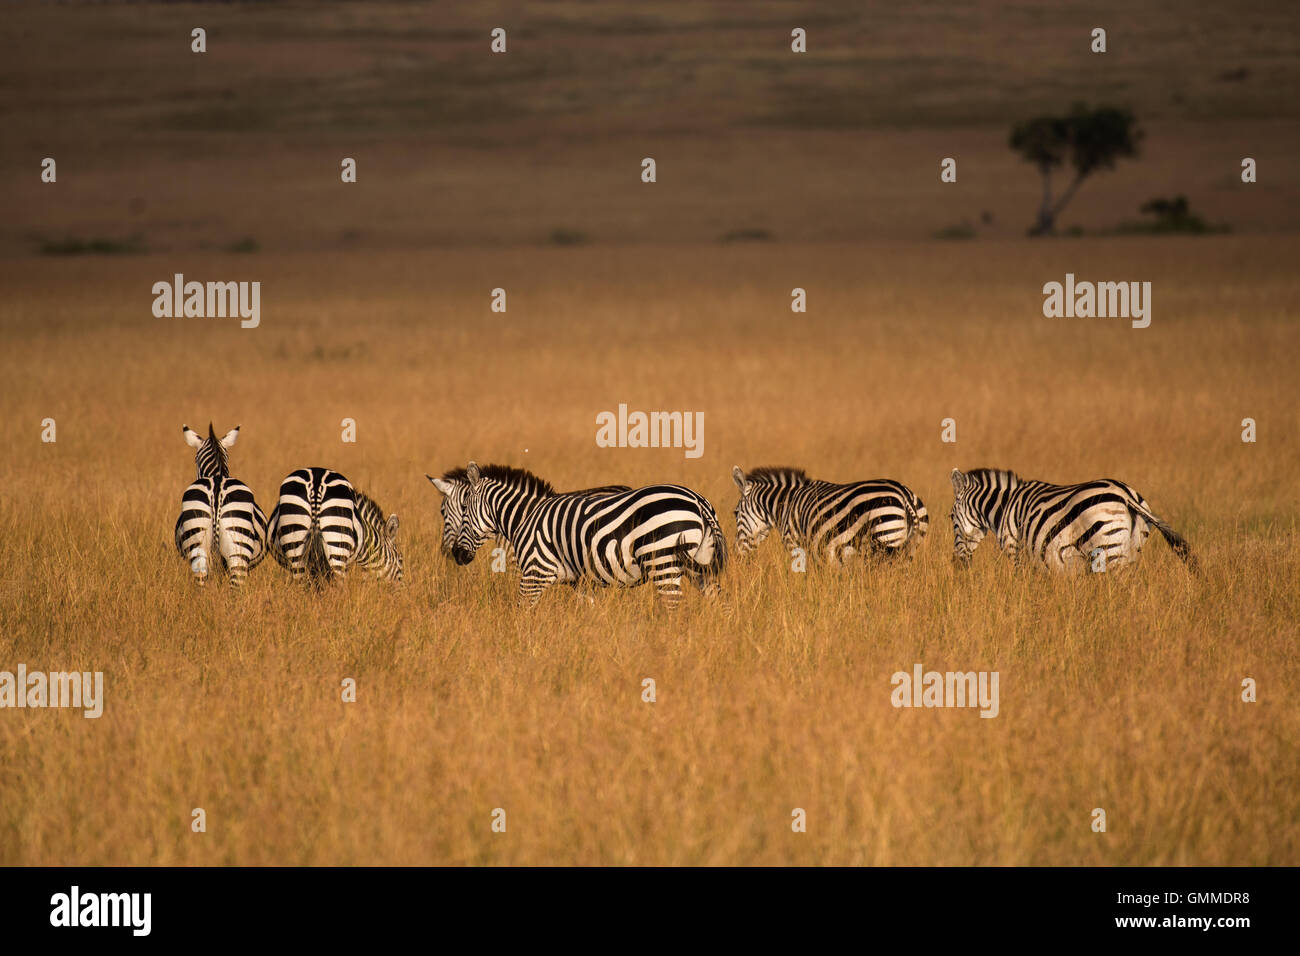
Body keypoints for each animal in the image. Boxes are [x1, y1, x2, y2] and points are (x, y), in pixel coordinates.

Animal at [452, 461, 726, 607]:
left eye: (464, 509)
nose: (456, 555)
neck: (525, 517)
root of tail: (699, 501)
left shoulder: (535, 572)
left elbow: (523, 611)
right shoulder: (582, 583)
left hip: (662, 561)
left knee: (672, 606)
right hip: (699, 566)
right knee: (718, 602)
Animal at [730, 465, 928, 563]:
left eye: (735, 513)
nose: (736, 554)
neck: (786, 504)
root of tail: (905, 495)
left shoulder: (794, 542)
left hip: (886, 539)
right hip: (911, 545)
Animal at [948, 468, 1197, 573]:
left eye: (951, 518)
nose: (957, 564)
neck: (1004, 506)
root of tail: (1126, 495)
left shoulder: (1014, 547)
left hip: (1108, 549)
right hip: (1131, 550)